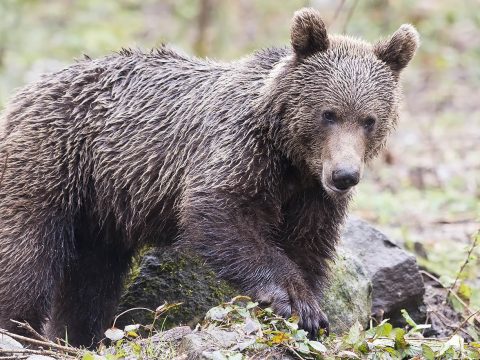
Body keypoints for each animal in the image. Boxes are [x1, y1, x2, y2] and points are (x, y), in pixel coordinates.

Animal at [0, 7, 416, 346]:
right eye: (328, 114)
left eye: (369, 120)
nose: (345, 175)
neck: (289, 157)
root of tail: (26, 91)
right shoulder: (238, 151)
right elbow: (220, 213)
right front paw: (296, 302)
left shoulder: (312, 195)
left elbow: (308, 246)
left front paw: (311, 308)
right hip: (52, 161)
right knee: (26, 256)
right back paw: (20, 329)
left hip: (103, 205)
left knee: (91, 278)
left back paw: (77, 336)